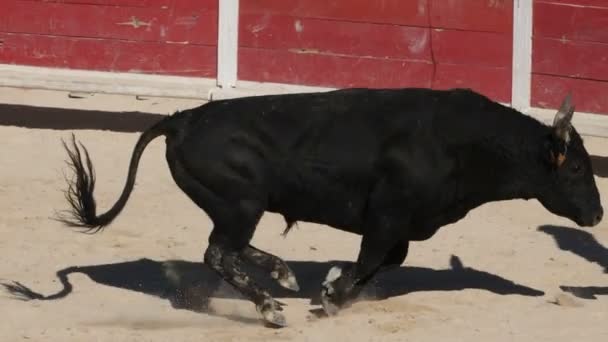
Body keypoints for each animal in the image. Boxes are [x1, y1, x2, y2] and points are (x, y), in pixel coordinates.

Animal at [57, 87, 604, 328]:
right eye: (577, 168)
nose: (597, 217)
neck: (464, 142)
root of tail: (181, 118)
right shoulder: (387, 215)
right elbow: (371, 259)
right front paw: (331, 296)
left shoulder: (402, 224)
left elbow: (385, 261)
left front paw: (331, 288)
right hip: (241, 202)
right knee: (218, 252)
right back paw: (271, 307)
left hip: (239, 207)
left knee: (227, 249)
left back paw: (282, 275)